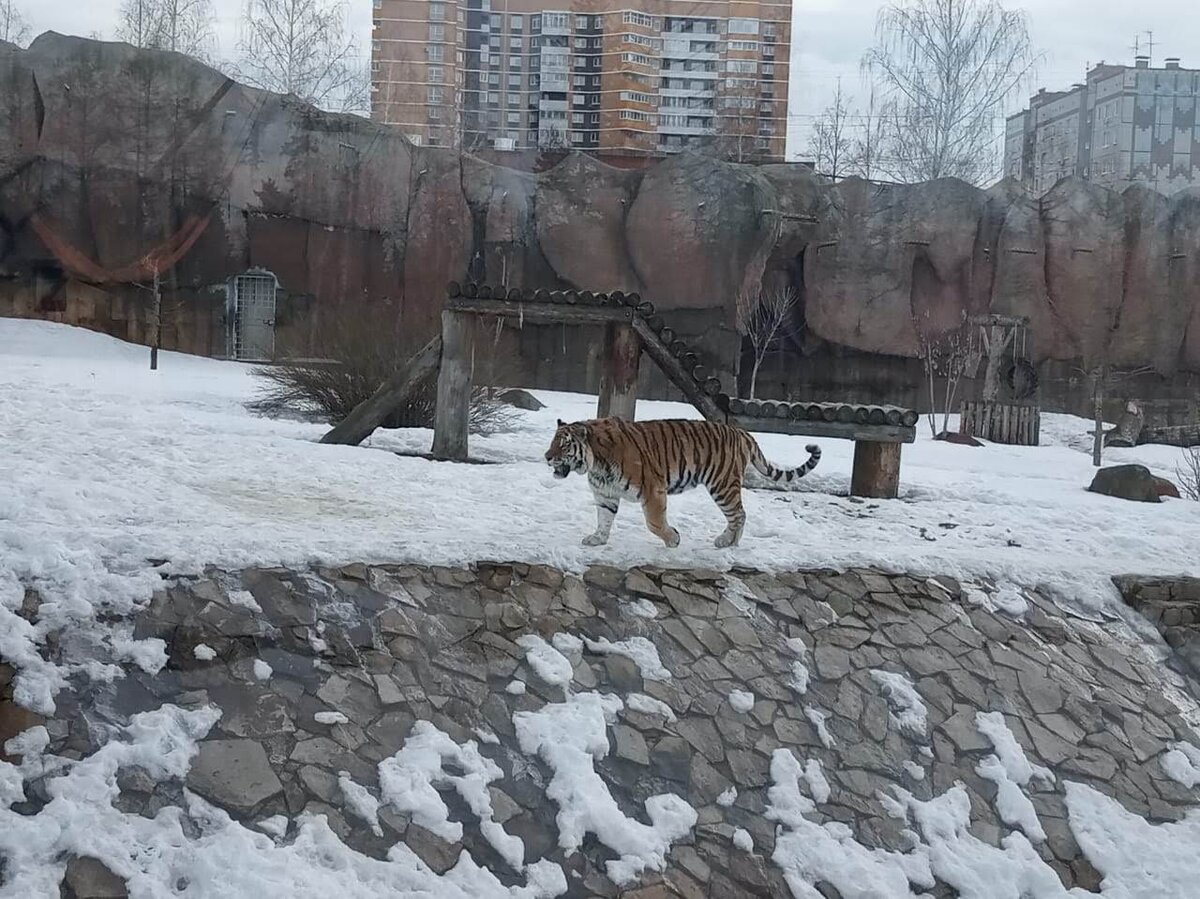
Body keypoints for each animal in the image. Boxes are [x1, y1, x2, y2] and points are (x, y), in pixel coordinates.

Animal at [547, 415, 820, 547]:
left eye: (564, 445)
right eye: (552, 442)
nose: (547, 456)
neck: (595, 463)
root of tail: (741, 432)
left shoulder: (652, 489)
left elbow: (654, 523)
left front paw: (673, 540)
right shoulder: (606, 494)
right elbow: (604, 519)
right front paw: (597, 540)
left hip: (722, 485)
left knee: (739, 514)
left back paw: (727, 542)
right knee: (739, 514)